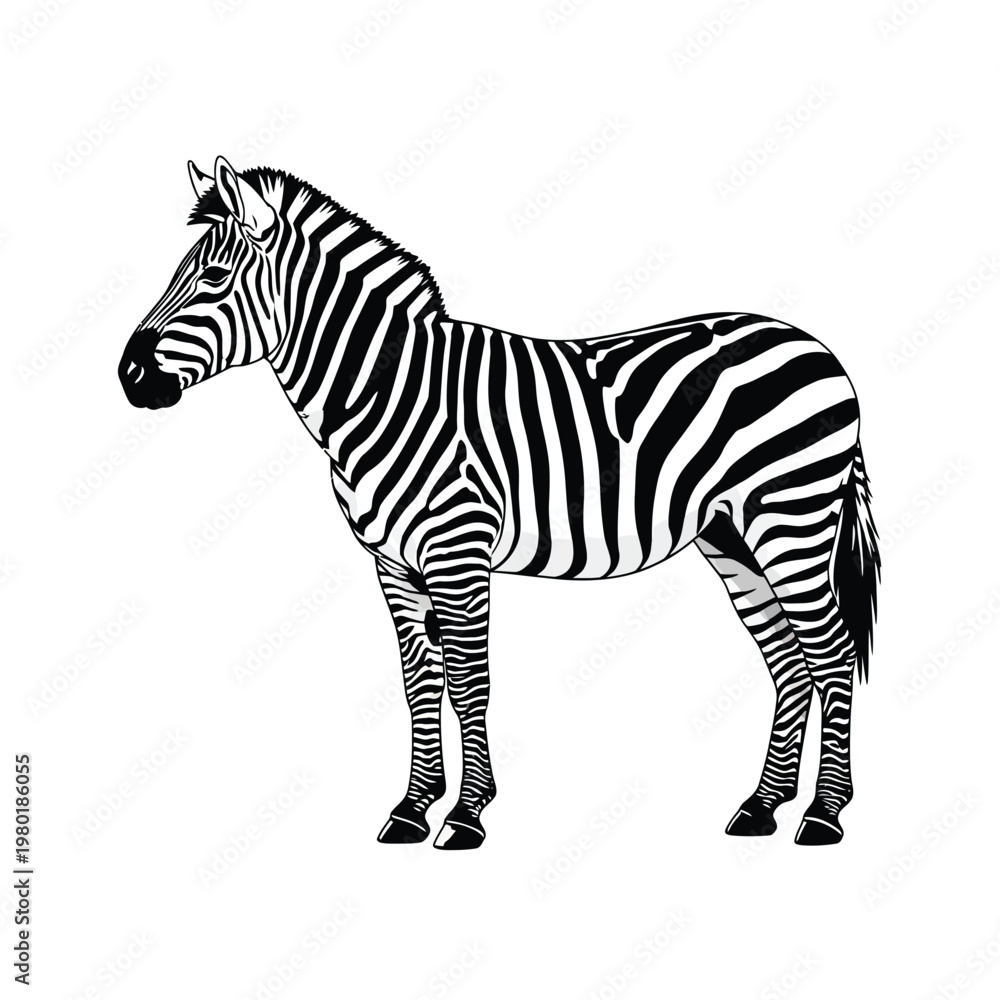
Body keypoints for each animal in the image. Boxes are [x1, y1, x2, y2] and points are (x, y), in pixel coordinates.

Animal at [119, 156, 879, 849]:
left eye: (214, 278)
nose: (128, 375)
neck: (387, 393)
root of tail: (816, 346)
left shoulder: (458, 549)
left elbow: (468, 680)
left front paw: (464, 816)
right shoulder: (392, 563)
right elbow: (419, 683)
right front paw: (411, 810)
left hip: (792, 517)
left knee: (832, 652)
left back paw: (822, 816)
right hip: (733, 536)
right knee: (788, 661)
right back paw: (761, 807)